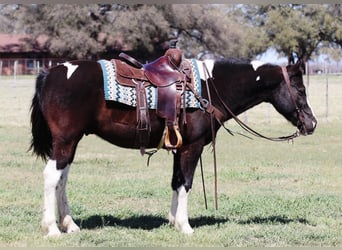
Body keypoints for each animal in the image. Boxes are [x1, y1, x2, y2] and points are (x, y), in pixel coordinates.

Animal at [30, 54, 316, 236]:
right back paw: (52, 229)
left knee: (62, 179)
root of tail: (50, 72)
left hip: (70, 143)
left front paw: (173, 221)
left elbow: (176, 181)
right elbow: (186, 183)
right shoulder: (192, 147)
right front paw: (185, 226)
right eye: (301, 90)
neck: (209, 88)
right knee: (51, 176)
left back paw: (70, 225)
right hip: (65, 141)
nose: (312, 124)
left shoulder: (180, 147)